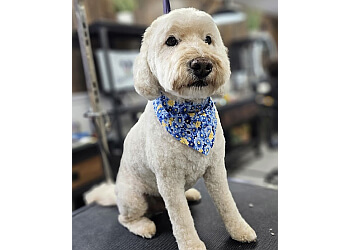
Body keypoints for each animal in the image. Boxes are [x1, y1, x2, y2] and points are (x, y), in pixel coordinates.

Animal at [115, 7, 258, 250]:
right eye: (171, 41)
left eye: (208, 39)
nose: (202, 64)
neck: (191, 115)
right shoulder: (169, 181)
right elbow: (181, 218)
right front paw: (192, 245)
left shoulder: (216, 169)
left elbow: (227, 203)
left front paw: (240, 230)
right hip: (133, 197)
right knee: (125, 218)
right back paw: (143, 226)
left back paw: (190, 194)